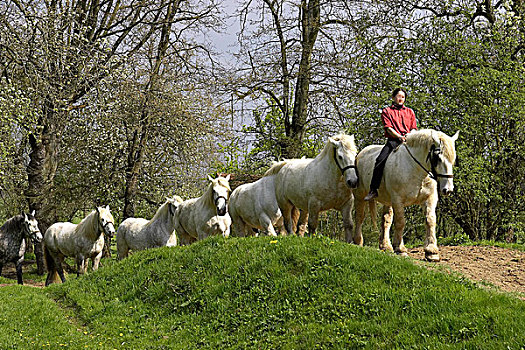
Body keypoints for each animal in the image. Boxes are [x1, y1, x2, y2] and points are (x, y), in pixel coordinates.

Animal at [352, 130, 458, 262]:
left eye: (453, 159)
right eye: (438, 158)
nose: (448, 189)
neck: (416, 170)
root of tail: (361, 153)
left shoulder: (430, 198)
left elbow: (430, 220)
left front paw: (431, 251)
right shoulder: (398, 200)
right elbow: (400, 222)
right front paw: (400, 249)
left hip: (387, 201)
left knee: (385, 220)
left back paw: (385, 246)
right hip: (360, 196)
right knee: (359, 217)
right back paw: (358, 241)